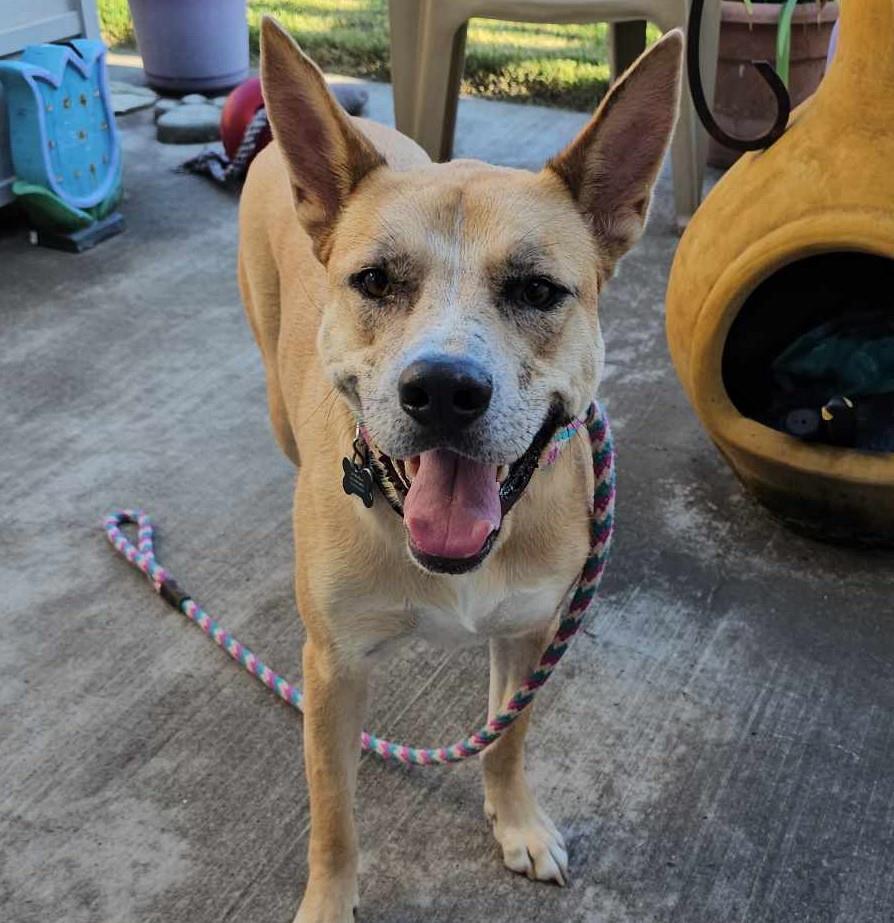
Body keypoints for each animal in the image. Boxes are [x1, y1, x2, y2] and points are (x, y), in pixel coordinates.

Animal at [240, 18, 688, 920]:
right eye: (375, 279)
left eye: (538, 289)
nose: (444, 389)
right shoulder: (333, 674)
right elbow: (334, 816)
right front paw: (328, 900)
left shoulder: (529, 632)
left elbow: (506, 742)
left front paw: (516, 821)